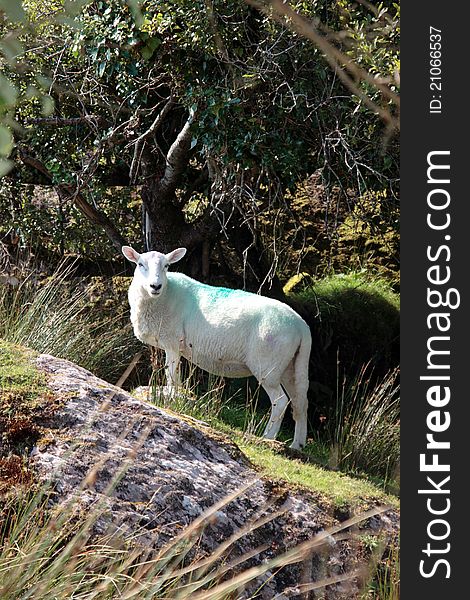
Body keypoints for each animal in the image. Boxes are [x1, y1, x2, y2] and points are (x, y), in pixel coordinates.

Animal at [123, 245, 310, 450]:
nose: (155, 286)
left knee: (281, 401)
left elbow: (171, 376)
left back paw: (267, 437)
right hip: (291, 366)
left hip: (268, 364)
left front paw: (170, 401)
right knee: (300, 403)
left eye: (166, 266)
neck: (165, 295)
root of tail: (302, 327)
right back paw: (297, 445)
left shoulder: (172, 341)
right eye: (140, 264)